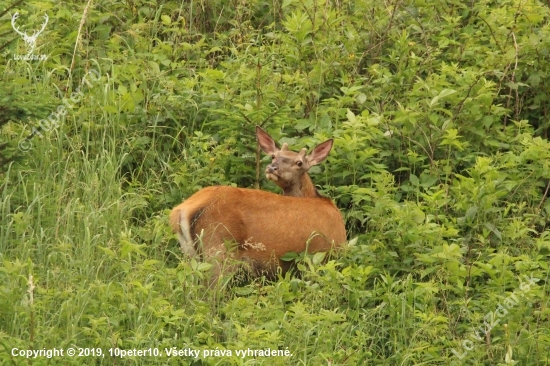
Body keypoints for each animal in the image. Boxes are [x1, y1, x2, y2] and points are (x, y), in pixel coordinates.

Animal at [170, 126, 348, 284]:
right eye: (273, 156)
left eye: (299, 163)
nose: (272, 167)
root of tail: (182, 210)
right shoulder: (326, 253)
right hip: (219, 250)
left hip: (191, 254)